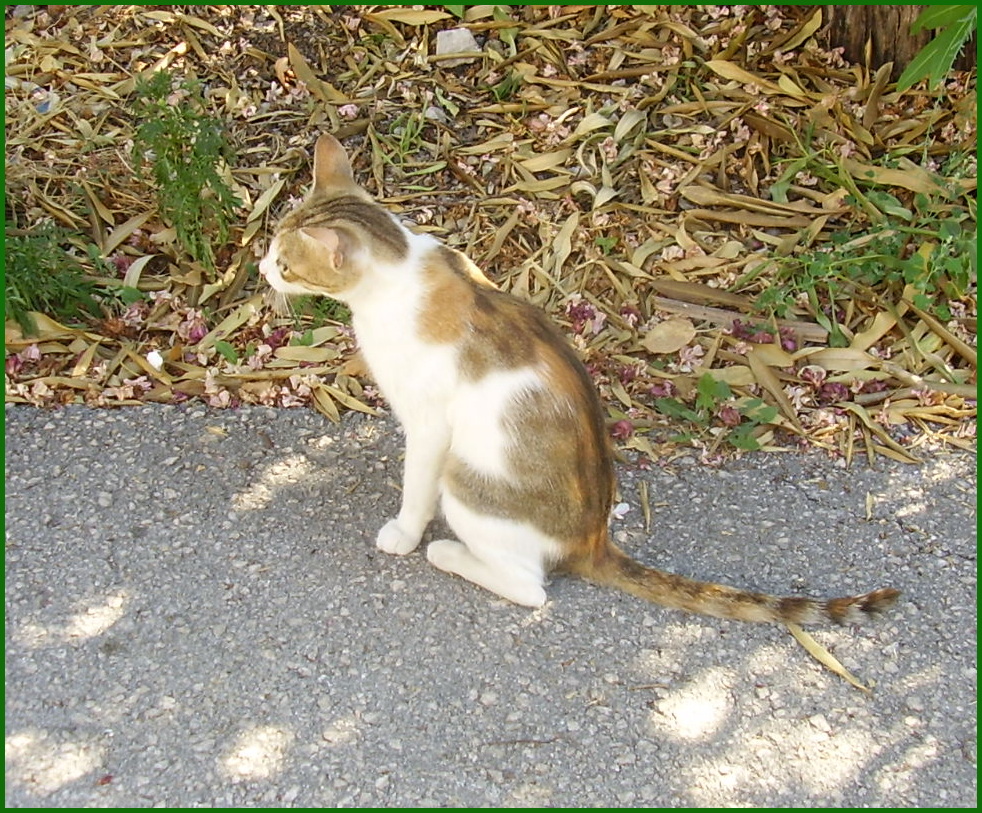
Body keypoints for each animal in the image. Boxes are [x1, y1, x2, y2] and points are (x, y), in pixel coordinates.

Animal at [260, 136, 900, 624]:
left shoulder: (428, 425)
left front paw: (404, 533)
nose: (262, 267)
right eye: (270, 247)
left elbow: (414, 489)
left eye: (286, 263)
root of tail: (592, 542)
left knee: (531, 589)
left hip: (466, 479)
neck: (397, 272)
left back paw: (448, 552)